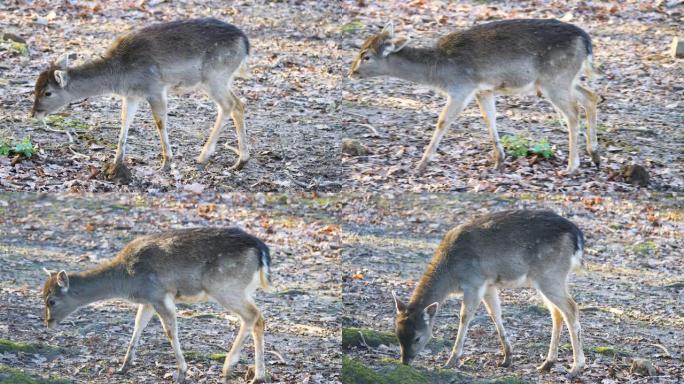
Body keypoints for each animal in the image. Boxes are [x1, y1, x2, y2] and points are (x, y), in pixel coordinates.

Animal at [31, 18, 251, 184]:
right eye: (35, 87)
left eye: (47, 93)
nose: (34, 113)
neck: (120, 74)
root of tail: (246, 43)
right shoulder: (131, 95)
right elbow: (124, 122)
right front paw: (115, 165)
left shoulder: (154, 87)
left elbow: (160, 121)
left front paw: (166, 163)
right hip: (219, 79)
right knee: (239, 103)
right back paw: (240, 161)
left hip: (215, 76)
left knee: (229, 105)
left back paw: (204, 157)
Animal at [41, 228, 272, 384]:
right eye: (42, 295)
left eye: (51, 300)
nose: (48, 322)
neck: (126, 280)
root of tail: (261, 250)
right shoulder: (148, 300)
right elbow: (138, 326)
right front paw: (123, 367)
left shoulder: (158, 294)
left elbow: (170, 330)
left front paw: (182, 372)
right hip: (241, 290)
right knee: (259, 318)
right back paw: (258, 376)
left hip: (225, 287)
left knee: (252, 316)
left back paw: (228, 367)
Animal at [350, 19, 600, 176]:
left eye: (366, 56)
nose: (352, 72)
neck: (439, 72)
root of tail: (586, 41)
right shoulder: (483, 90)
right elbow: (490, 119)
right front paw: (499, 161)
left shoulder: (461, 87)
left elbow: (442, 121)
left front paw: (421, 165)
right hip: (565, 79)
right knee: (591, 96)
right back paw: (595, 155)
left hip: (554, 80)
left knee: (573, 112)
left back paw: (572, 167)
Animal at [392, 212, 584, 380]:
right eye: (397, 334)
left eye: (417, 337)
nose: (405, 361)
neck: (451, 272)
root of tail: (577, 237)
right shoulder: (489, 284)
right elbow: (495, 314)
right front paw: (507, 358)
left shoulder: (474, 281)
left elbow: (465, 316)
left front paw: (451, 361)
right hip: (547, 278)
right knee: (557, 312)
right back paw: (547, 363)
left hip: (550, 274)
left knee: (571, 308)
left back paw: (575, 368)